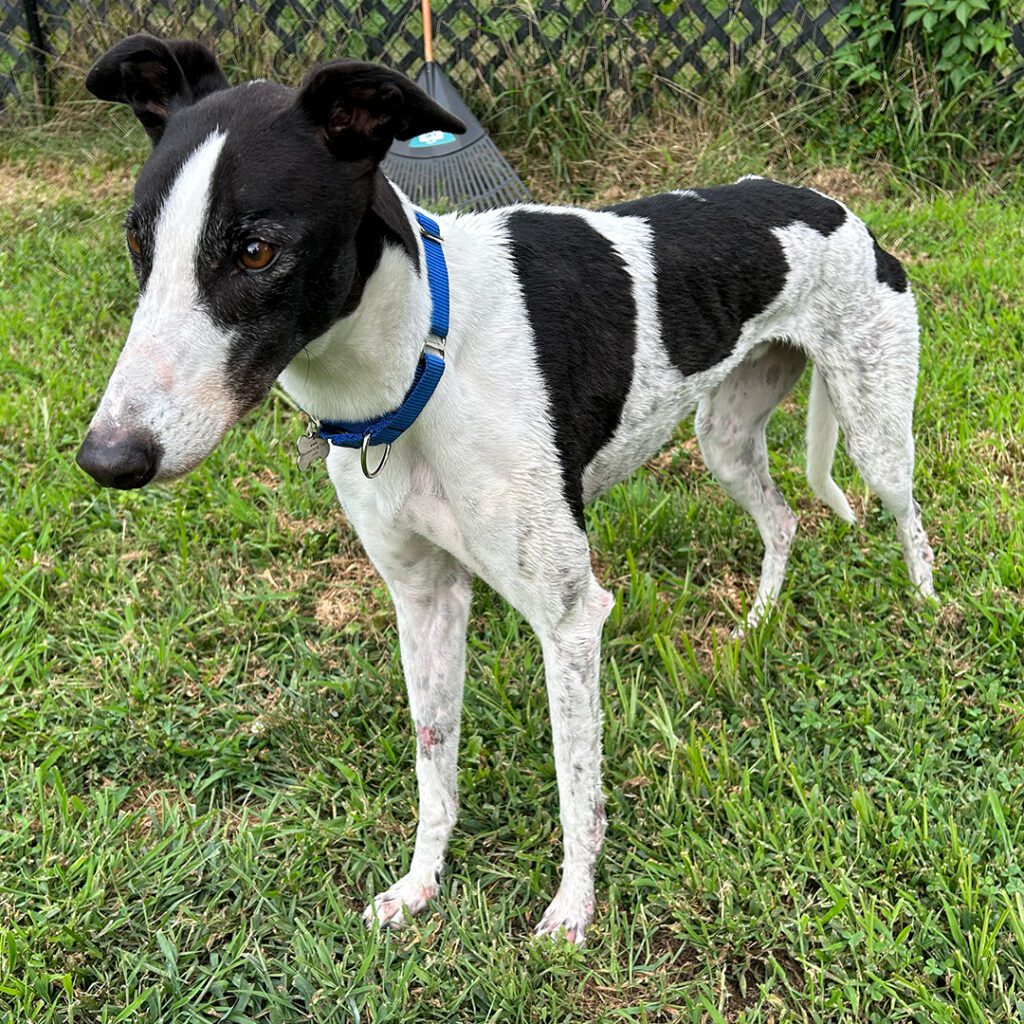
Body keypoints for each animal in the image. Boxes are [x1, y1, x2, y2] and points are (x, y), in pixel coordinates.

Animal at [75, 34, 933, 942]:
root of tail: (833, 206)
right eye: (138, 244)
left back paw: (927, 611)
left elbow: (577, 790)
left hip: (875, 429)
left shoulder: (570, 619)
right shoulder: (423, 599)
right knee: (782, 522)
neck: (424, 355)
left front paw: (573, 913)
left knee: (908, 516)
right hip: (726, 439)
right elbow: (434, 768)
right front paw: (420, 884)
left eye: (255, 251)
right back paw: (759, 622)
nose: (108, 457)